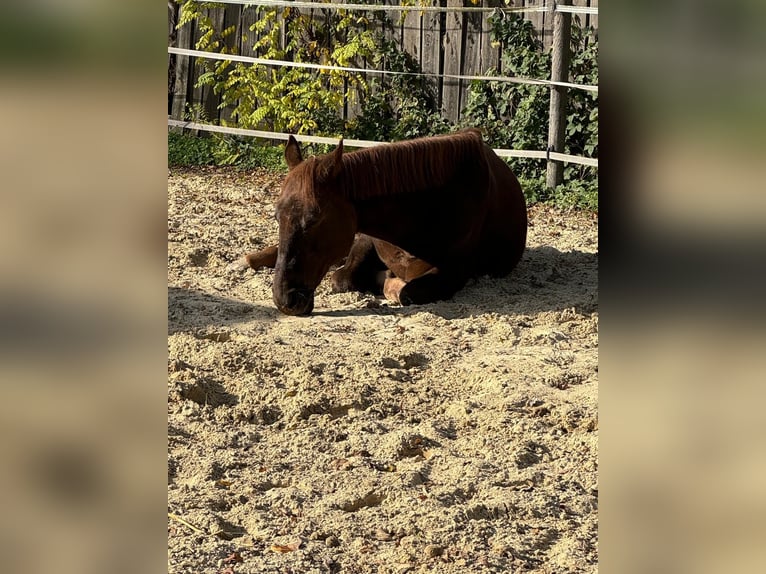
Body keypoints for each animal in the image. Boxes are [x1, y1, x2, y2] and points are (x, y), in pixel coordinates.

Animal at [228, 129, 528, 318]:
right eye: (276, 216)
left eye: (314, 220)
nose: (286, 300)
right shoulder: (364, 239)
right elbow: (342, 279)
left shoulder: (454, 273)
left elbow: (405, 291)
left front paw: (387, 282)